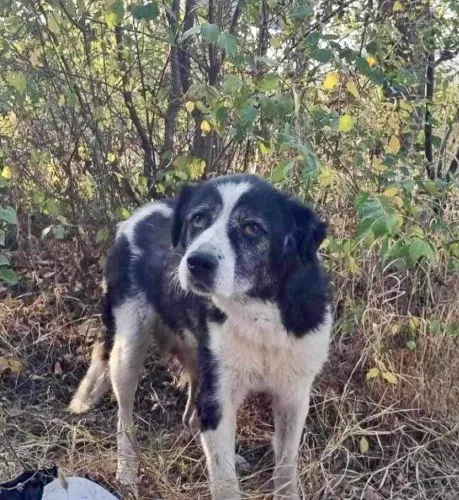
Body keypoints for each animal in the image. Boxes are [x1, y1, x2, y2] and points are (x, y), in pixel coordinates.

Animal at [68, 174, 332, 498]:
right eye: (198, 219)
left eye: (252, 227)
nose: (197, 262)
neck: (258, 310)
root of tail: (133, 218)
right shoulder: (218, 396)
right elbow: (225, 481)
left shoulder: (293, 397)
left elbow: (285, 467)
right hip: (127, 347)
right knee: (124, 416)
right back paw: (126, 470)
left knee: (191, 416)